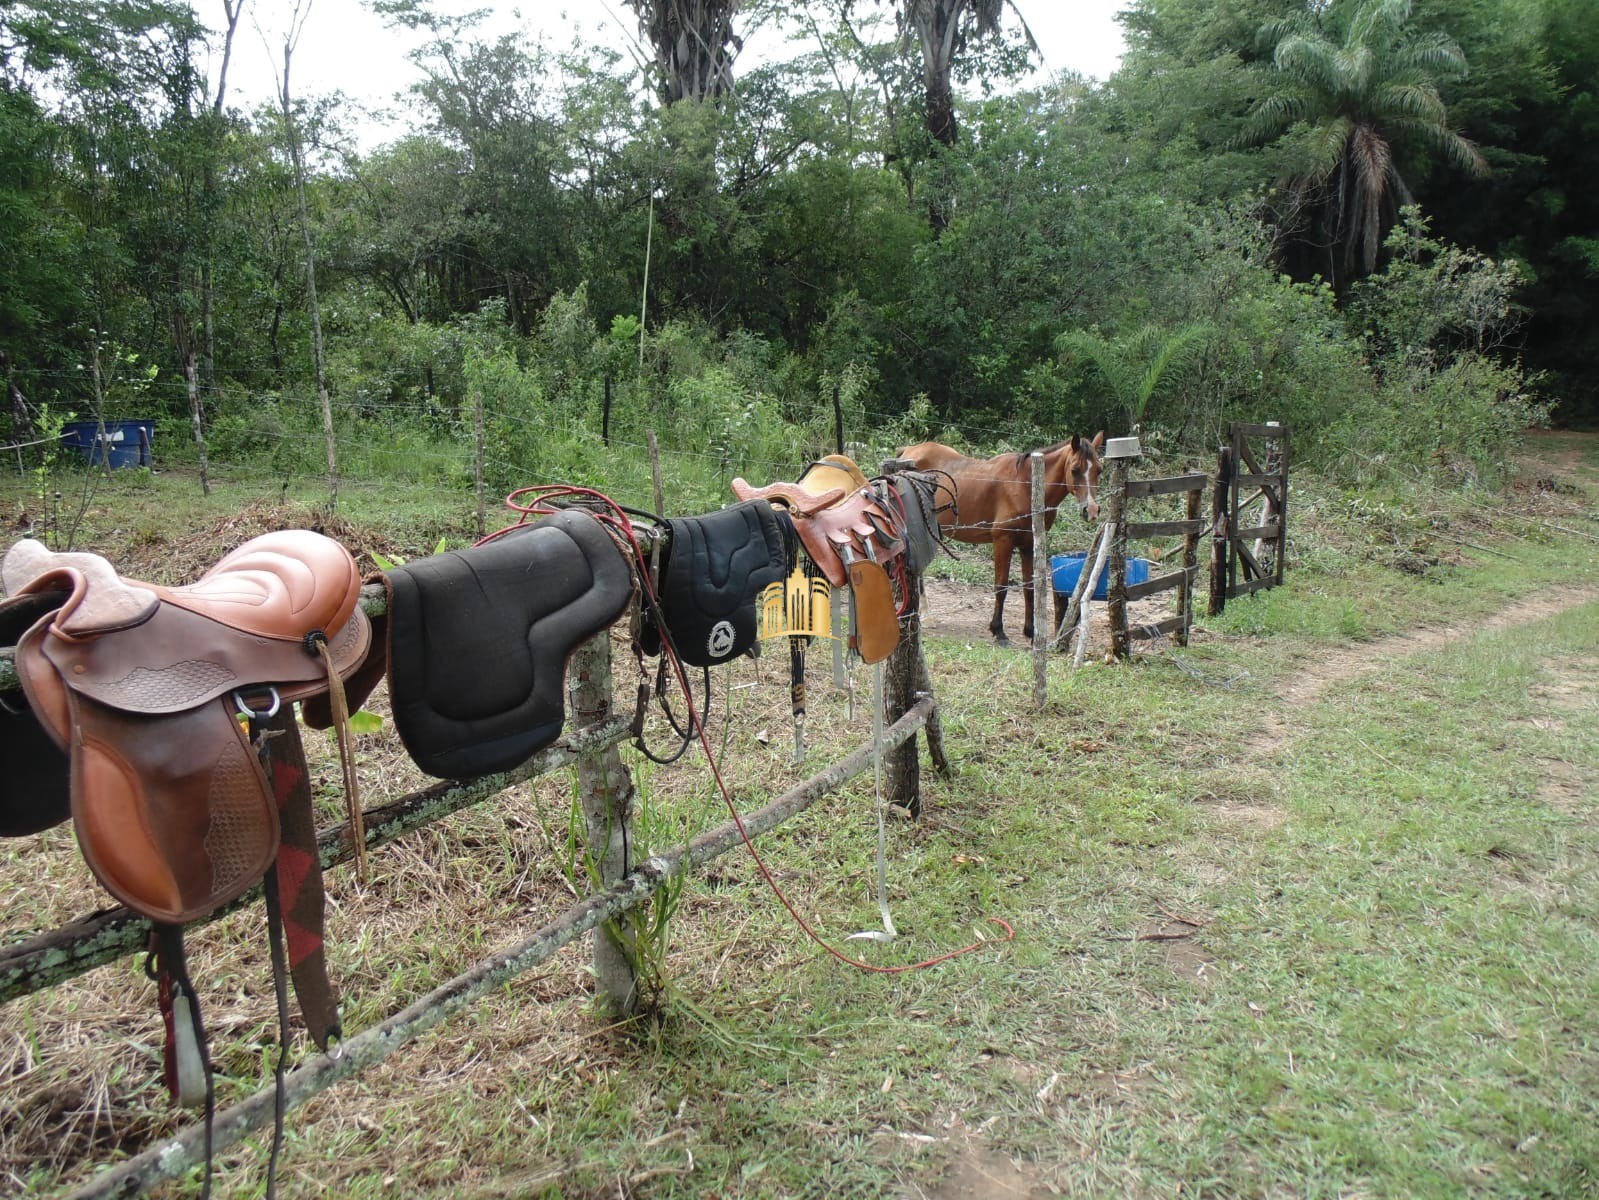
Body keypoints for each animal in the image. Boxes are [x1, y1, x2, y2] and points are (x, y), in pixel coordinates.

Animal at [895, 438, 1106, 649]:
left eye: (1099, 470)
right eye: (1075, 470)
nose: (1091, 510)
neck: (1025, 485)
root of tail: (909, 451)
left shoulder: (1028, 545)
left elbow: (1029, 588)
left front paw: (1030, 632)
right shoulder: (1003, 542)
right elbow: (1001, 587)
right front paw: (999, 631)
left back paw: (926, 616)